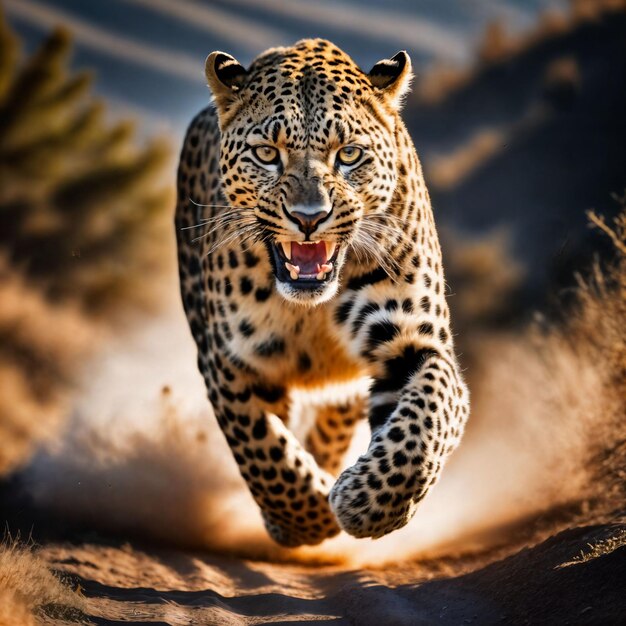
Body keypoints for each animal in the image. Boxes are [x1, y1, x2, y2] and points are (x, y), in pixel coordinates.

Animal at [176, 37, 468, 544]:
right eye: (267, 153)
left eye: (348, 155)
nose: (309, 217)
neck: (309, 307)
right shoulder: (228, 362)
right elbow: (263, 449)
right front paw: (306, 517)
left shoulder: (417, 342)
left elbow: (430, 416)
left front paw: (361, 502)